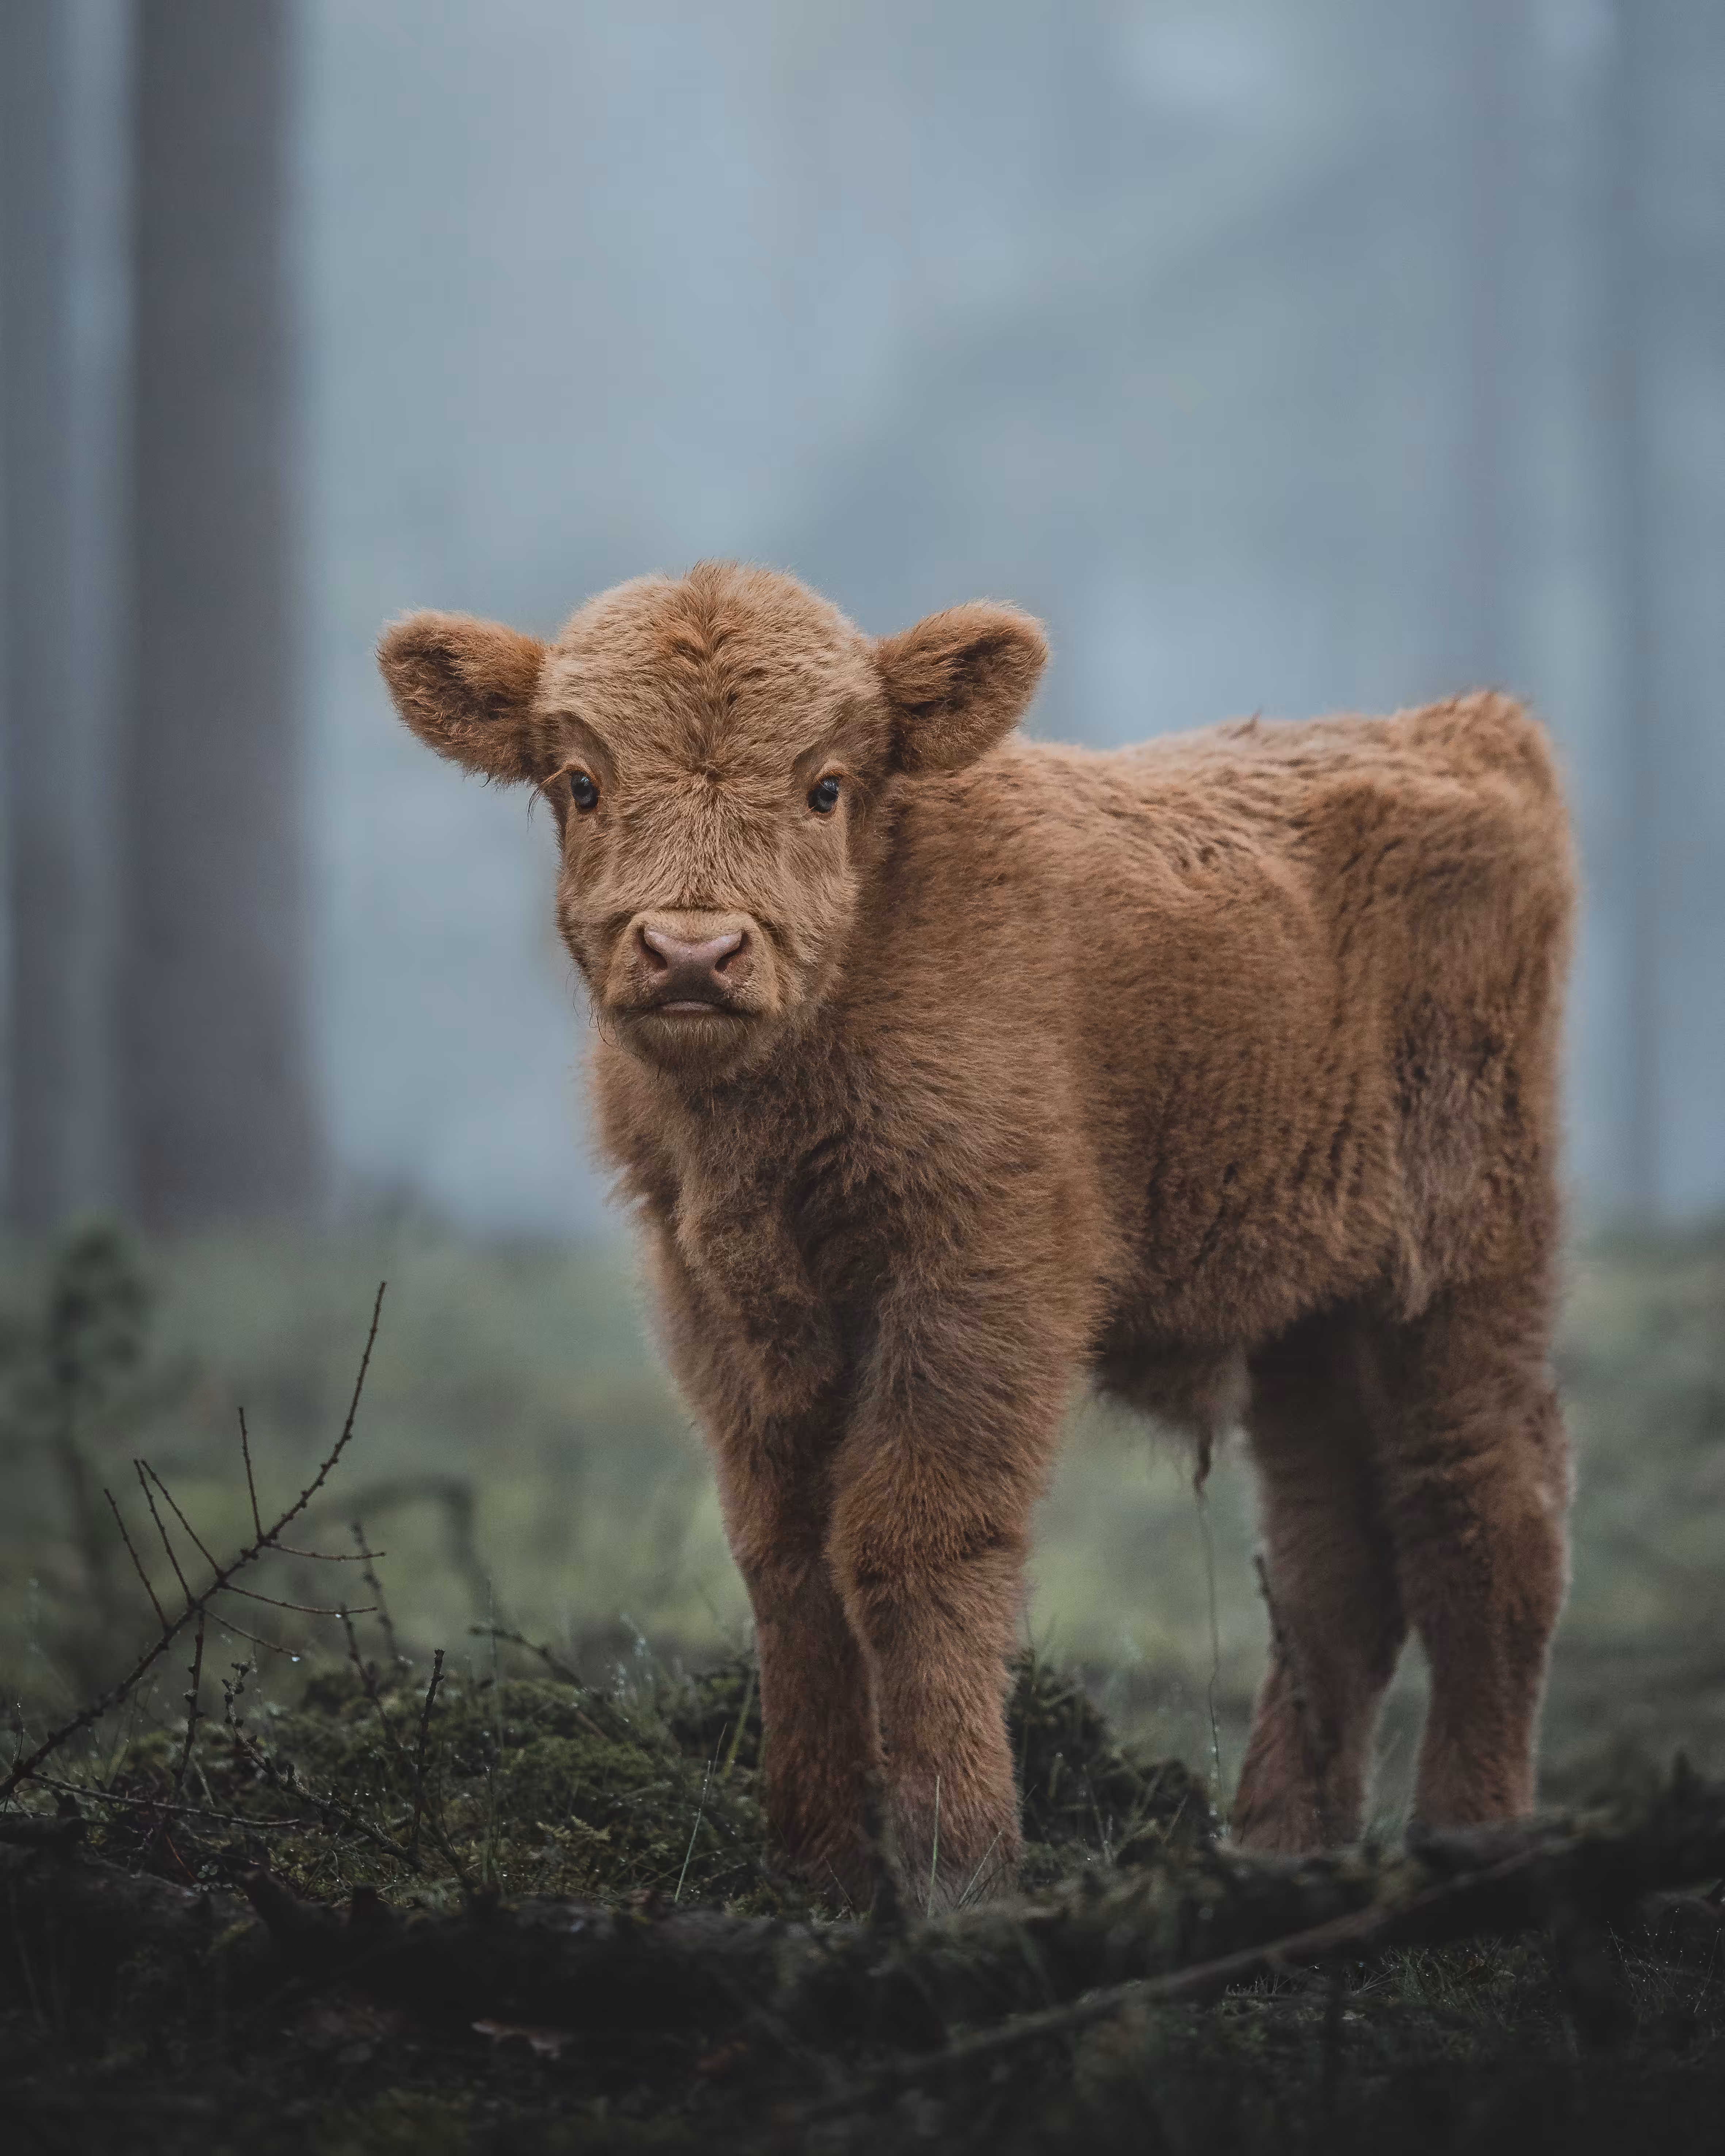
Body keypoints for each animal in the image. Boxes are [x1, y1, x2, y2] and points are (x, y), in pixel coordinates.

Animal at [379, 560, 1576, 1909]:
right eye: (581, 780)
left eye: (825, 783)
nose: (694, 950)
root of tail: (1457, 730)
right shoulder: (721, 1302)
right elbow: (784, 1555)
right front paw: (815, 1867)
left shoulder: (977, 1278)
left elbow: (911, 1543)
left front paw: (963, 1870)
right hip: (1307, 1313)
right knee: (1334, 1562)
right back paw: (1274, 1851)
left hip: (1460, 1275)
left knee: (1483, 1519)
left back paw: (1468, 1841)